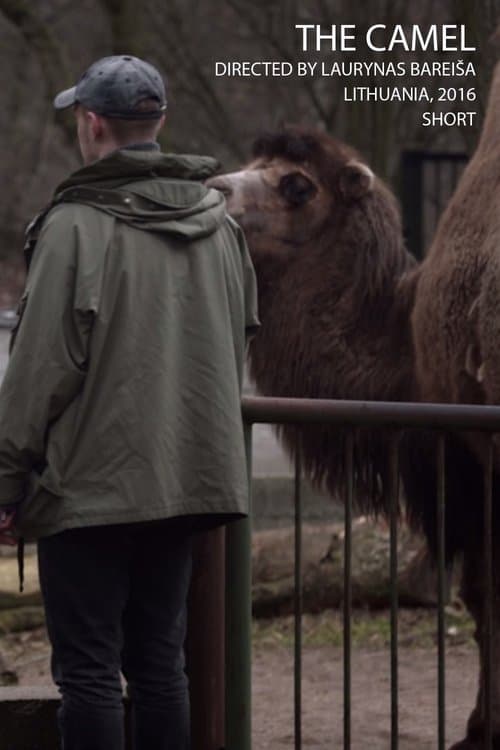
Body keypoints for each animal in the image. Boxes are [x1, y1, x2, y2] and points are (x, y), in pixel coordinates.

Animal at [206, 64, 500, 750]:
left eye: (296, 184)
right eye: (250, 165)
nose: (213, 187)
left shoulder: (468, 455)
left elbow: (487, 596)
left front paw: (481, 730)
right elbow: (480, 595)